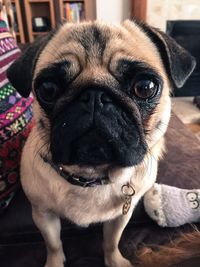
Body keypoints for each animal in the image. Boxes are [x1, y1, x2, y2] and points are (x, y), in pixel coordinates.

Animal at [7, 19, 195, 267]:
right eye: (48, 89)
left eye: (145, 87)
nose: (94, 96)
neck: (90, 178)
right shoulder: (43, 214)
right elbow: (53, 245)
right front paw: (55, 262)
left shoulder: (121, 215)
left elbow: (111, 241)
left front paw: (115, 260)